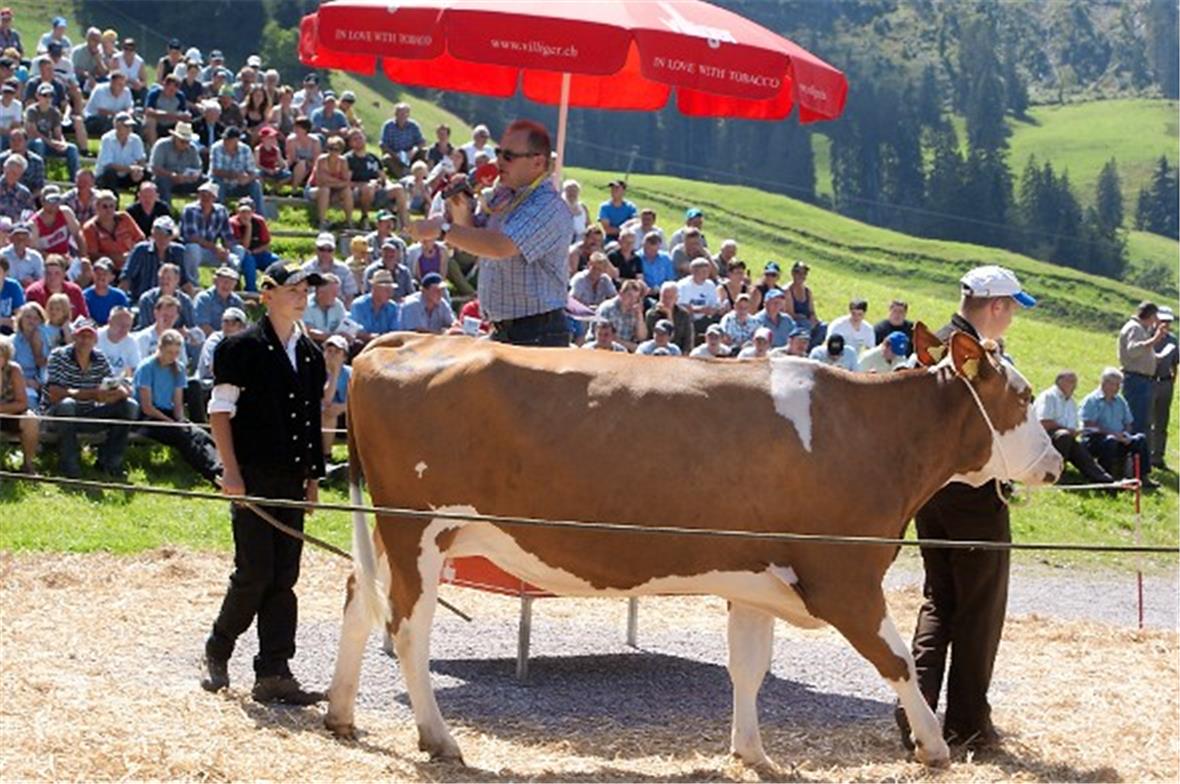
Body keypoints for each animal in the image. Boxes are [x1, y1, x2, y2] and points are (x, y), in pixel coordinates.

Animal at [323, 323, 1062, 768]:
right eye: (1024, 395)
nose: (1056, 462)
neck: (875, 433)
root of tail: (404, 341)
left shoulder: (758, 577)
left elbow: (748, 668)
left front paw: (753, 754)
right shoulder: (844, 577)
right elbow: (899, 660)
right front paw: (935, 747)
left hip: (394, 531)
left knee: (360, 597)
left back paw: (340, 715)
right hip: (419, 528)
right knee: (407, 627)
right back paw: (438, 737)